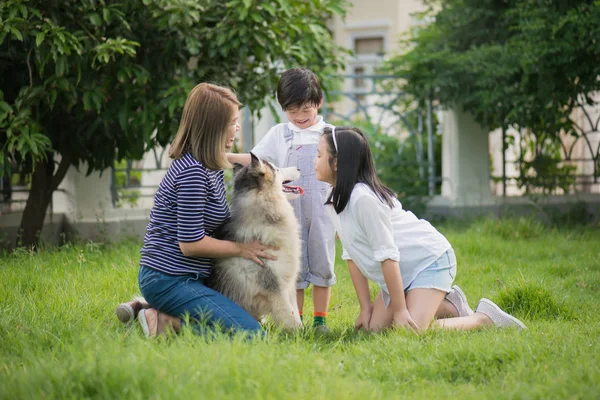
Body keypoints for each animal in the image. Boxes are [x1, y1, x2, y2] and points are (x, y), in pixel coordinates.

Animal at [210, 152, 304, 330]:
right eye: (277, 169)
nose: (299, 167)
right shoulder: (275, 288)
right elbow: (290, 317)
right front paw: (299, 334)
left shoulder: (288, 283)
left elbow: (295, 311)